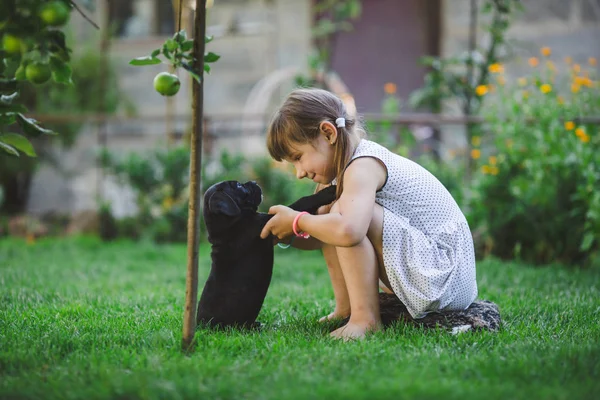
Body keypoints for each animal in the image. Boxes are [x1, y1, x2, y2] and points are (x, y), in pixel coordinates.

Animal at [198, 181, 336, 328]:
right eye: (238, 186)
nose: (254, 182)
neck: (229, 225)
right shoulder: (268, 221)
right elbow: (300, 203)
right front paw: (327, 192)